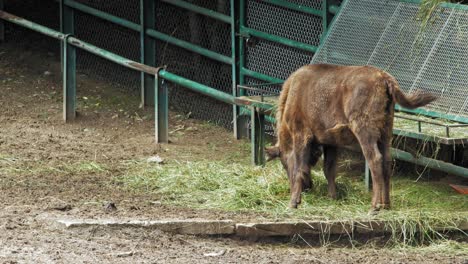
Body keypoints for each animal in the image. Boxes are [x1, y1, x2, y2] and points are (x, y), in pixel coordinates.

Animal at [266, 64, 438, 212]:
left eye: (284, 163)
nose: (308, 188)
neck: (292, 94)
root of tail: (384, 78)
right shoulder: (330, 142)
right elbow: (329, 169)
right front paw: (332, 197)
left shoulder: (301, 135)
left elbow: (300, 168)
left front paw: (293, 203)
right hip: (386, 133)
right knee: (387, 162)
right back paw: (386, 205)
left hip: (365, 132)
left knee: (375, 160)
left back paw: (374, 207)